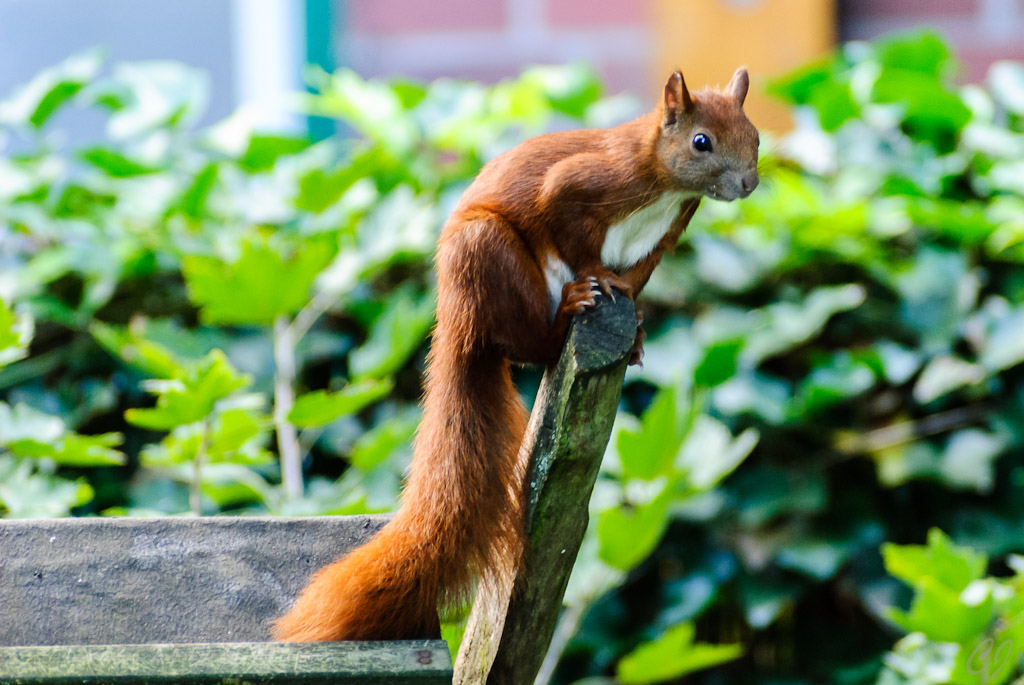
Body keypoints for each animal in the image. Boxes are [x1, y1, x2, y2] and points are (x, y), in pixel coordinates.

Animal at [272, 67, 760, 642]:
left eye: (755, 136)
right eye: (701, 142)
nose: (748, 183)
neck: (664, 186)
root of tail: (460, 321)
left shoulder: (667, 233)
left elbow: (638, 279)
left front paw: (636, 321)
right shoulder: (582, 185)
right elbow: (576, 237)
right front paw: (602, 279)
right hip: (489, 253)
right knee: (530, 344)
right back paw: (567, 312)